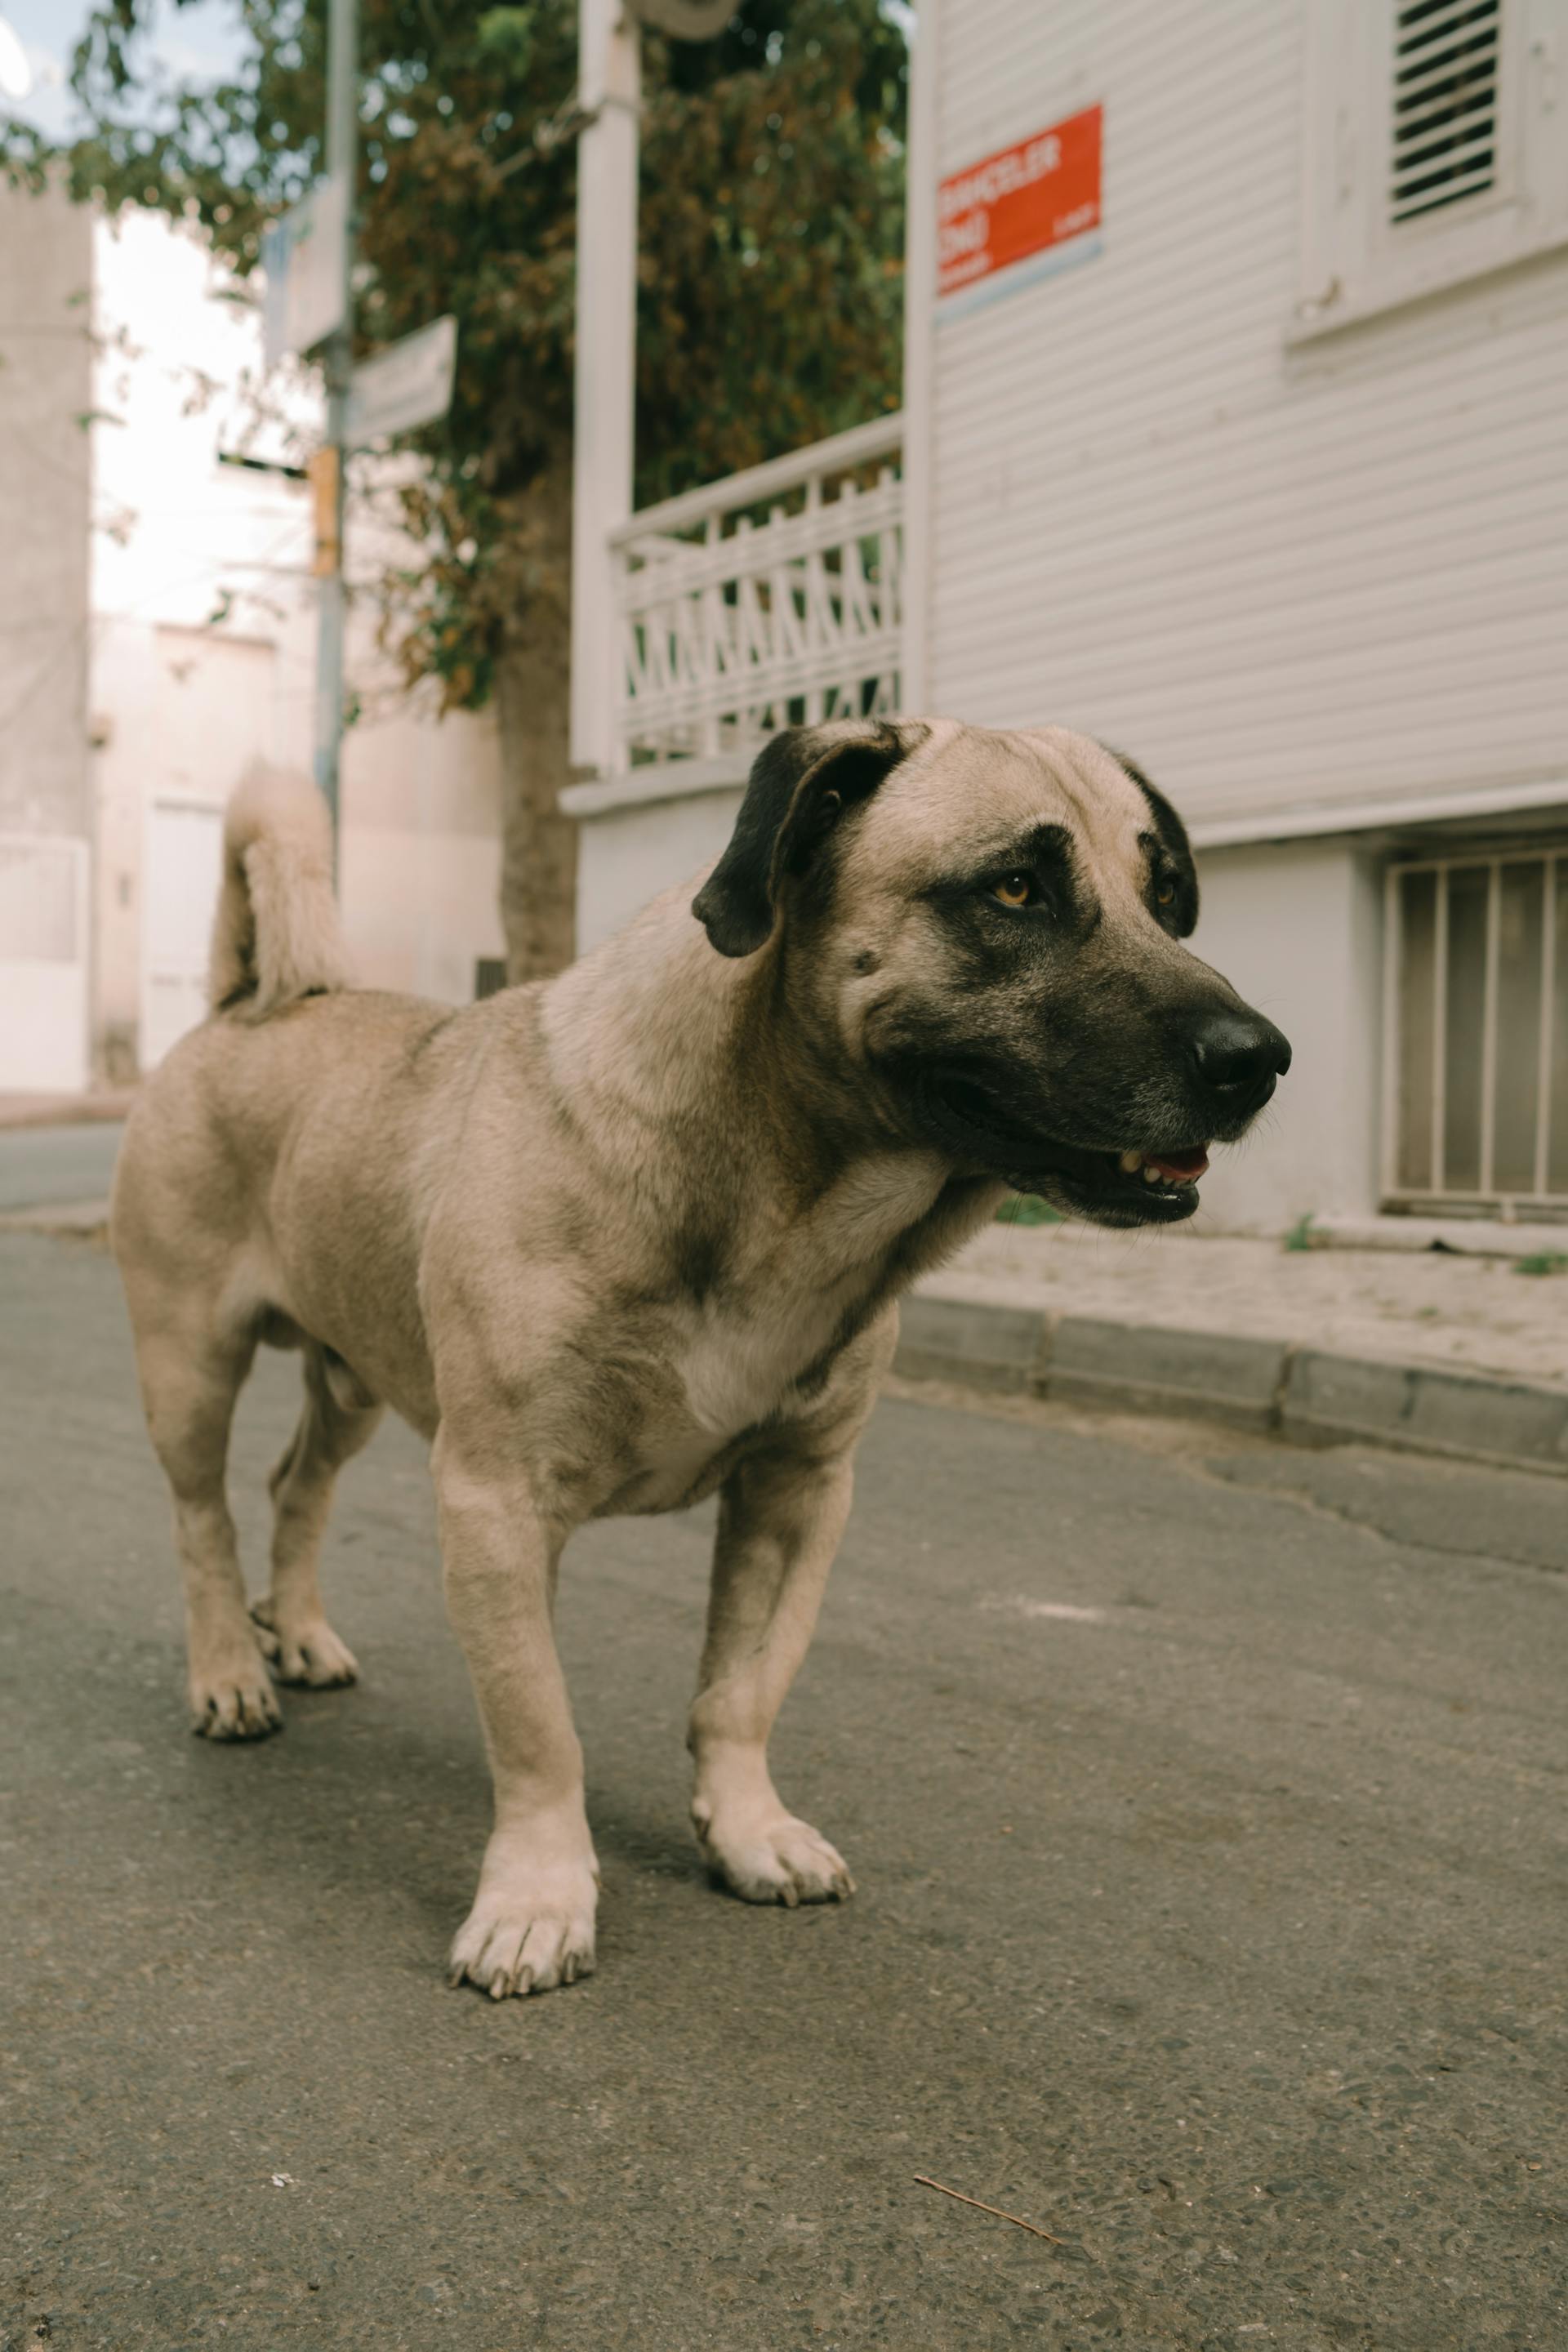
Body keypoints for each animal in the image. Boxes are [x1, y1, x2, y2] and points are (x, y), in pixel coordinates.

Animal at [107, 710, 1288, 1984]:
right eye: (1015, 888)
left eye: (1165, 899)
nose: (1257, 1058)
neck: (776, 1179)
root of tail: (246, 1003)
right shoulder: (497, 1502)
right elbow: (539, 1727)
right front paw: (538, 1894)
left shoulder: (798, 1492)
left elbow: (743, 1690)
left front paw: (747, 1831)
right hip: (189, 1370)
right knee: (203, 1522)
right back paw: (231, 1672)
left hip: (356, 1380)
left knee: (296, 1485)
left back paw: (301, 1634)